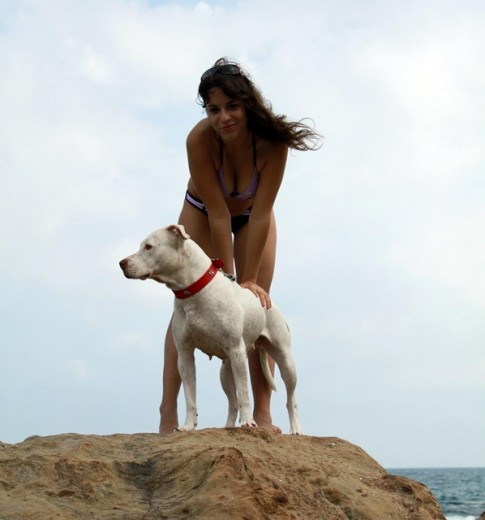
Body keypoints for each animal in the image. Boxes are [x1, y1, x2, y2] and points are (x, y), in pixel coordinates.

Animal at [120, 224, 302, 434]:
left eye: (148, 246)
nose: (121, 263)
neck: (193, 292)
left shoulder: (237, 351)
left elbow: (244, 393)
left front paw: (248, 422)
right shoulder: (185, 355)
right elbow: (190, 396)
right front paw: (187, 426)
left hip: (284, 362)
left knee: (290, 399)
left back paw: (296, 429)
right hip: (225, 372)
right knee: (232, 402)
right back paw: (228, 426)